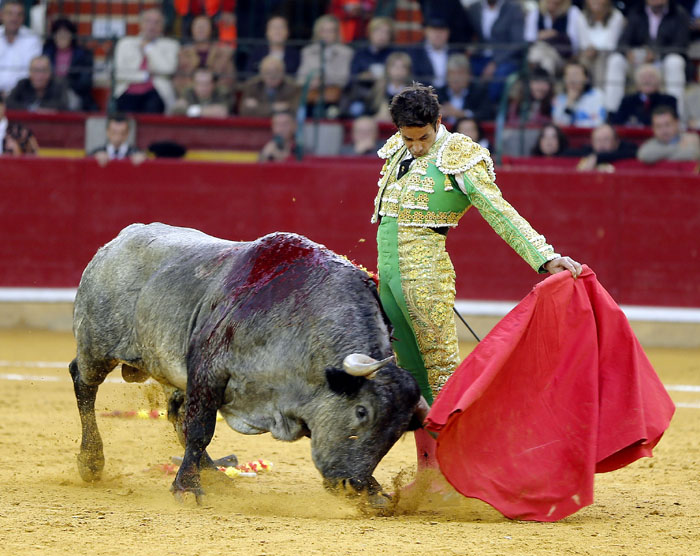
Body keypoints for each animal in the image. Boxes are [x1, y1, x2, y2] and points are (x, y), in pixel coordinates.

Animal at [70, 223, 421, 507]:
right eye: (362, 411)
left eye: (399, 431)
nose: (353, 485)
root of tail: (117, 242)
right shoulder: (208, 370)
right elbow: (200, 429)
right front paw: (187, 488)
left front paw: (375, 491)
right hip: (96, 347)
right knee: (84, 384)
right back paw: (91, 462)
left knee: (176, 413)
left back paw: (214, 474)